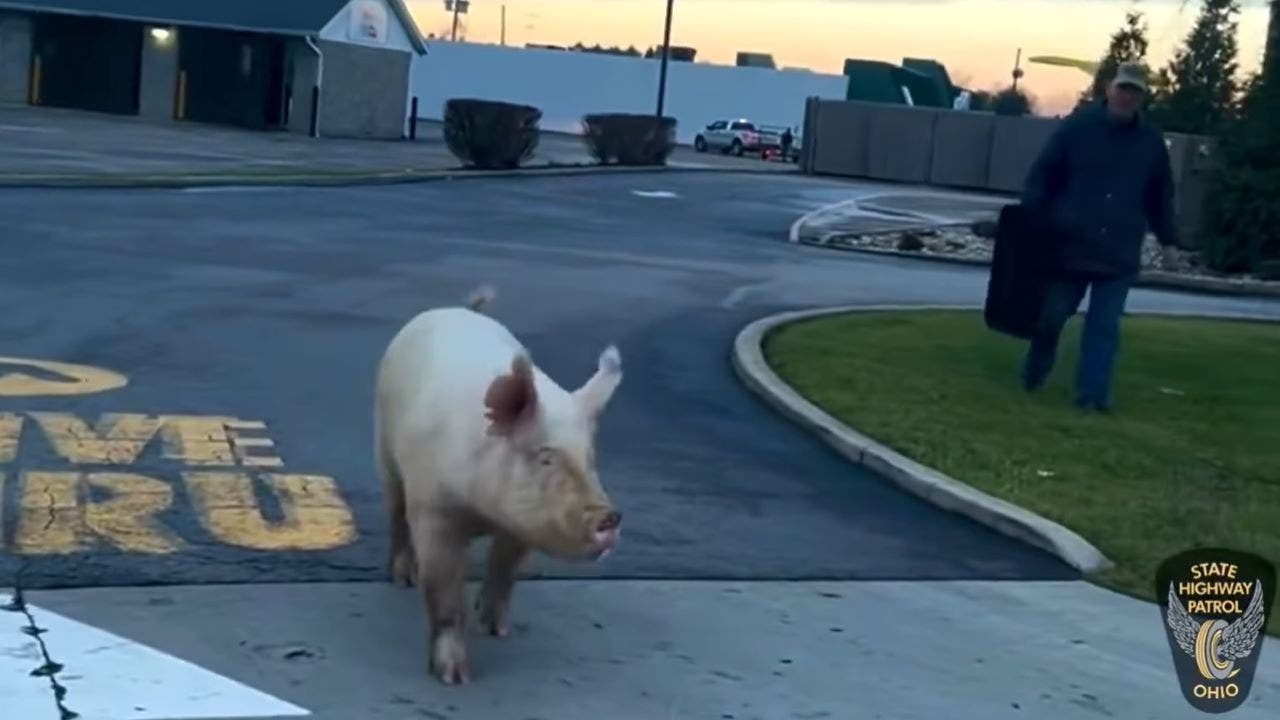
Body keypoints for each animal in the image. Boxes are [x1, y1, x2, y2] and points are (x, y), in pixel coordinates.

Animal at [371, 283, 624, 681]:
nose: (609, 516)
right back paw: (402, 579)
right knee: (396, 514)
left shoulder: (523, 526)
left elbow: (505, 572)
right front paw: (454, 677)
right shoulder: (434, 511)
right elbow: (443, 591)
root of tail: (459, 310)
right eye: (545, 457)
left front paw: (498, 631)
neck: (484, 513)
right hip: (383, 447)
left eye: (591, 457)